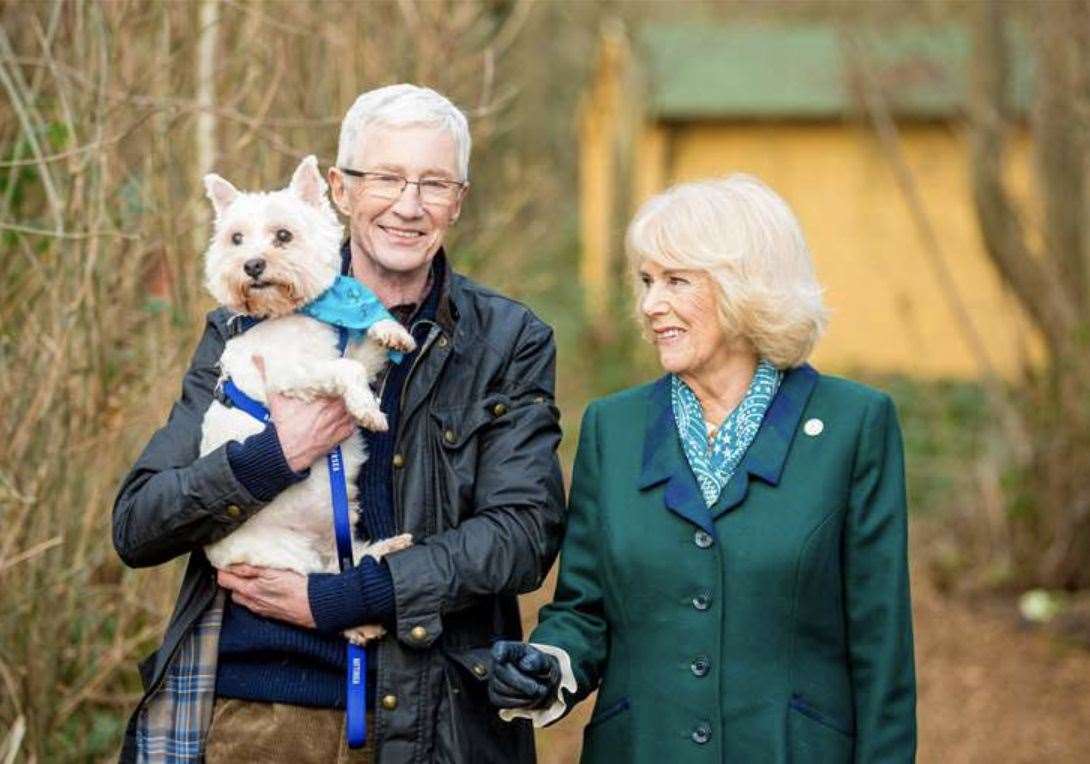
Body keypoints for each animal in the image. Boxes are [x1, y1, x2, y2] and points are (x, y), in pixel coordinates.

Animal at [198, 158, 409, 640]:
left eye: (283, 235)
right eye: (236, 239)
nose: (252, 264)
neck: (286, 313)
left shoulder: (339, 350)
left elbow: (365, 351)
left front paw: (392, 330)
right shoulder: (292, 375)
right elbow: (347, 370)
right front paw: (367, 410)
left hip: (338, 533)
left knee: (352, 563)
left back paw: (391, 546)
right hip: (285, 556)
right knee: (324, 585)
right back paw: (361, 626)